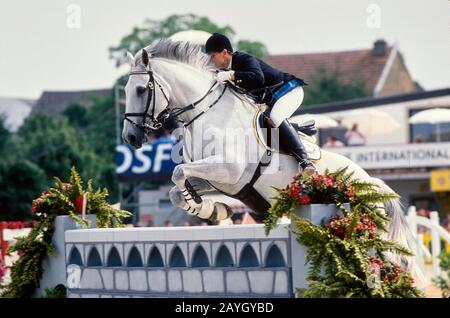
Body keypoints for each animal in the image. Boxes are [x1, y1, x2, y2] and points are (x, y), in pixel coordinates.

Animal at [121, 39, 424, 286]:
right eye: (125, 90)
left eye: (141, 89)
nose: (131, 137)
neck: (205, 113)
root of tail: (371, 181)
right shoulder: (217, 179)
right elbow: (176, 189)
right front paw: (212, 209)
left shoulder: (227, 169)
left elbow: (177, 171)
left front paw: (206, 207)